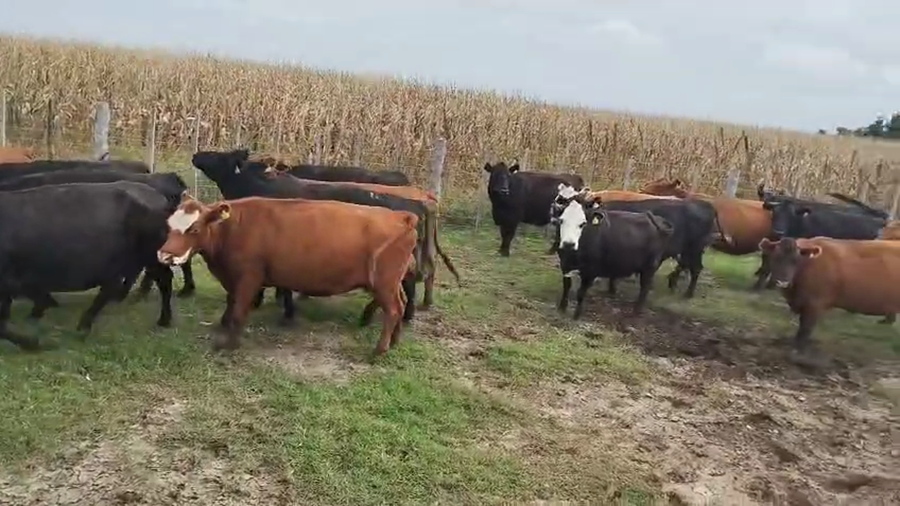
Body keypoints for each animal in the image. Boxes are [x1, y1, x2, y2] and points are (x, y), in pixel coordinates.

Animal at [156, 194, 418, 355]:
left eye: (194, 228)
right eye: (168, 225)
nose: (164, 255)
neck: (233, 228)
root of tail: (402, 216)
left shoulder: (249, 278)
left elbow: (239, 312)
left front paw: (230, 344)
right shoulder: (233, 279)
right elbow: (231, 305)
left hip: (384, 283)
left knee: (393, 309)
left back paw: (380, 350)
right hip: (392, 283)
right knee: (402, 303)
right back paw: (395, 341)